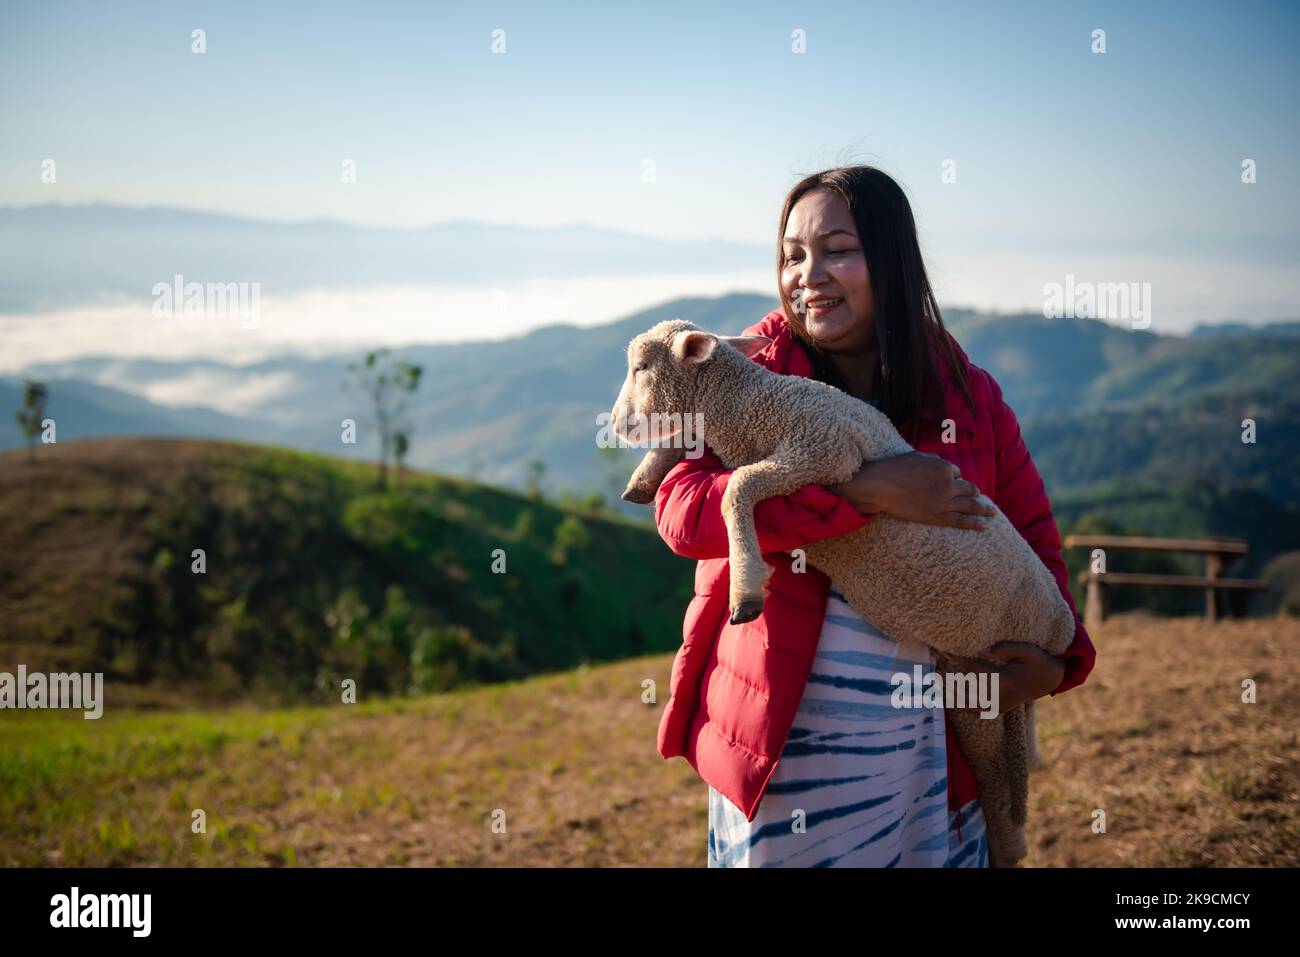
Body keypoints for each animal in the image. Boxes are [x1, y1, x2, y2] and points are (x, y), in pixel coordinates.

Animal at [608, 319, 1076, 868]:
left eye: (641, 367)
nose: (615, 426)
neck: (753, 405)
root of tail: (1060, 630)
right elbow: (697, 447)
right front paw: (644, 478)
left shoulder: (822, 449)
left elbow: (736, 487)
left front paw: (746, 589)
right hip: (977, 680)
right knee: (1005, 763)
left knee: (999, 779)